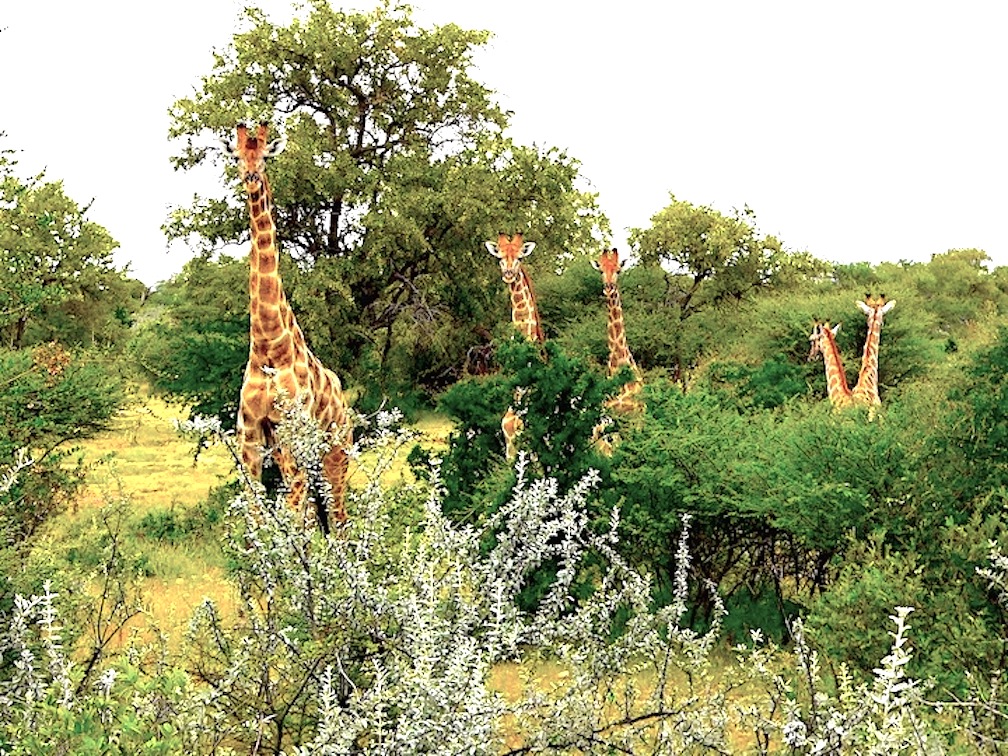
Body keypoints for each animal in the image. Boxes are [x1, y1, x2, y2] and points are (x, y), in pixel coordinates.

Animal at [226, 121, 352, 528]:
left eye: (265, 155)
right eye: (237, 155)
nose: (251, 178)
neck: (268, 345)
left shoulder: (288, 434)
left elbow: (294, 517)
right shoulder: (250, 435)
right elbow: (257, 516)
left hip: (334, 454)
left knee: (338, 518)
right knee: (317, 514)